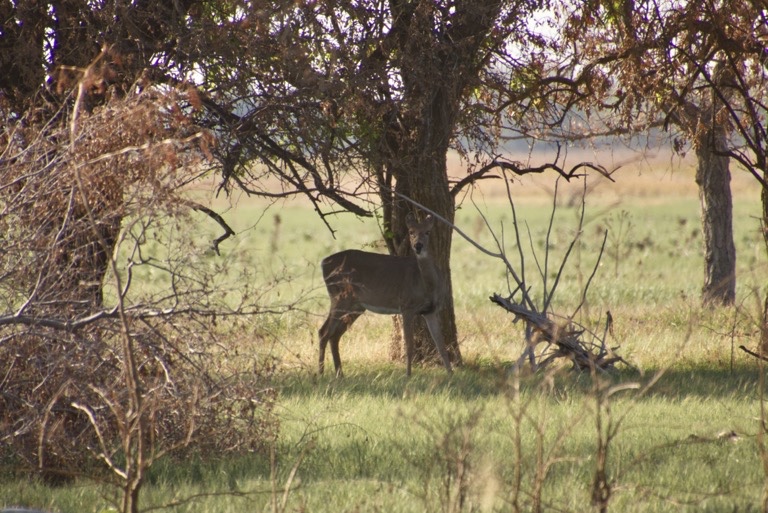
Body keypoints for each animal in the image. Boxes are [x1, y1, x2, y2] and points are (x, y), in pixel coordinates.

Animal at [316, 212, 452, 376]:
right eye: (411, 232)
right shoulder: (407, 306)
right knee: (324, 331)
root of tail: (323, 262)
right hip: (340, 296)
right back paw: (321, 374)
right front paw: (408, 375)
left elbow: (441, 345)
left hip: (356, 306)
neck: (427, 286)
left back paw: (339, 375)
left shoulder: (431, 311)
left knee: (334, 335)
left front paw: (451, 375)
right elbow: (409, 345)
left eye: (428, 232)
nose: (418, 246)